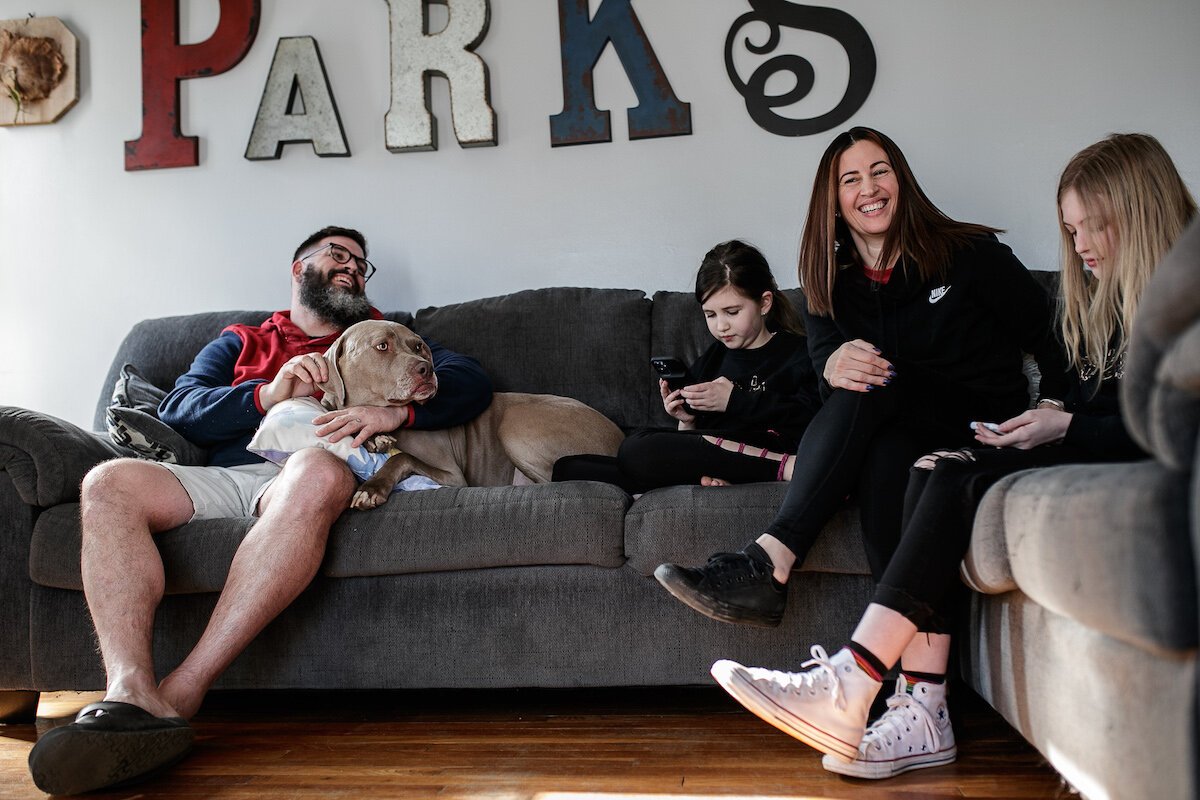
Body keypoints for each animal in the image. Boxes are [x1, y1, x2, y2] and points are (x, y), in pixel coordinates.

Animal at [314, 316, 624, 506]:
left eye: (418, 346)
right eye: (382, 345)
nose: (427, 370)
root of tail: (619, 437)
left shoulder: (453, 477)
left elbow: (402, 458)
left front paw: (371, 487)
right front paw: (374, 439)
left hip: (515, 425)